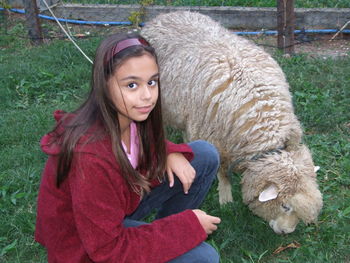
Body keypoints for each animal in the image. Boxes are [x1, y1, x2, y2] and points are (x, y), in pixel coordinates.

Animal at [140, 10, 322, 234]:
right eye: (285, 206)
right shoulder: (216, 141)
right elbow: (222, 173)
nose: (286, 232)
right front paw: (225, 199)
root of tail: (164, 15)